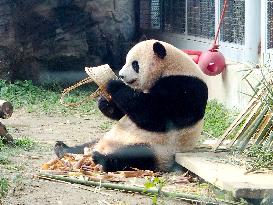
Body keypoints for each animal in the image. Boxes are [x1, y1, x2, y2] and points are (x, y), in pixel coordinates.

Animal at [55, 39, 208, 171]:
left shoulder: (185, 87)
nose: (121, 75)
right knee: (87, 144)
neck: (171, 67)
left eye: (135, 64)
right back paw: (64, 148)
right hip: (105, 138)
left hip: (159, 149)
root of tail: (103, 147)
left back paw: (102, 159)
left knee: (137, 156)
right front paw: (104, 102)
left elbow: (154, 116)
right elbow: (126, 112)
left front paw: (113, 84)